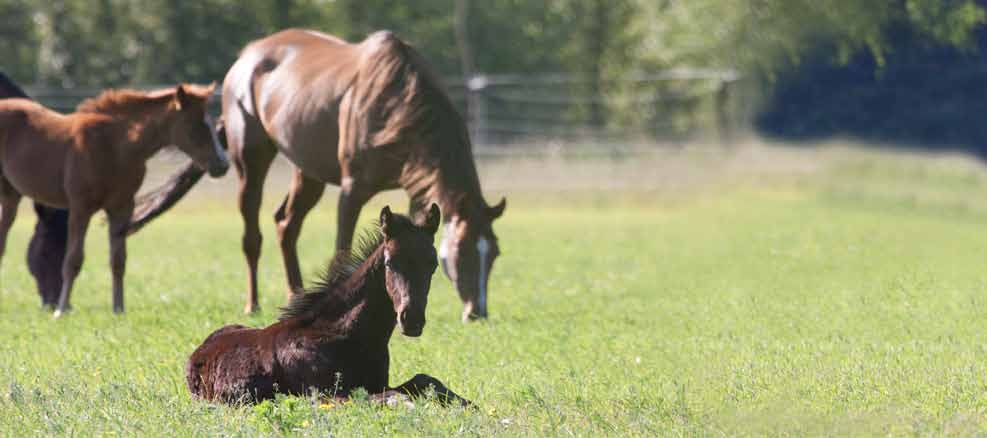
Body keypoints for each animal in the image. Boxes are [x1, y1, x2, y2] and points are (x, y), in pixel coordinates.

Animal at [190, 205, 478, 408]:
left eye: (433, 265)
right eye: (390, 262)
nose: (412, 319)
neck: (345, 334)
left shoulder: (376, 383)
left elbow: (425, 380)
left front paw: (470, 405)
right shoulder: (327, 393)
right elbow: (394, 396)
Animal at [223, 30, 506, 318]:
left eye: (495, 253)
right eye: (462, 251)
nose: (477, 312)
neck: (395, 104)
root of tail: (247, 55)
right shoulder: (352, 189)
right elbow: (342, 249)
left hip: (308, 171)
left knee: (287, 225)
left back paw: (295, 296)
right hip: (249, 159)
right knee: (252, 233)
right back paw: (253, 305)